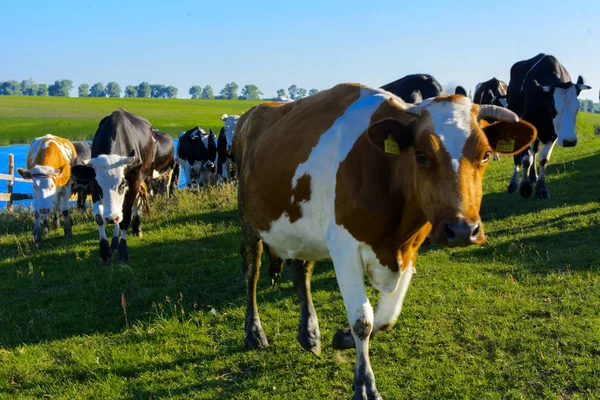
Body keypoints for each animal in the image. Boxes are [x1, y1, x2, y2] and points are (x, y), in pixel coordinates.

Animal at [71, 108, 154, 262]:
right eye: (99, 186)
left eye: (122, 184)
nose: (111, 218)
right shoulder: (93, 185)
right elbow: (99, 217)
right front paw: (105, 251)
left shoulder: (133, 182)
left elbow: (125, 216)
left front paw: (123, 250)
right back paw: (114, 240)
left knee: (135, 203)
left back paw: (136, 229)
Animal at [233, 83, 536, 398]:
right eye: (421, 155)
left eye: (486, 155)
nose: (463, 230)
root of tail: (256, 111)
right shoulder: (344, 249)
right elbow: (363, 320)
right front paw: (364, 383)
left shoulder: (410, 249)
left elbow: (387, 318)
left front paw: (342, 338)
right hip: (247, 217)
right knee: (251, 271)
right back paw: (254, 332)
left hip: (302, 227)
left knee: (301, 271)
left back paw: (310, 333)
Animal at [506, 54, 592, 199]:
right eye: (553, 108)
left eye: (577, 108)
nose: (569, 141)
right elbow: (525, 160)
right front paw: (525, 187)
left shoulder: (553, 134)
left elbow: (543, 159)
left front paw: (541, 189)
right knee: (519, 157)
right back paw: (513, 184)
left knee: (534, 150)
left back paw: (533, 176)